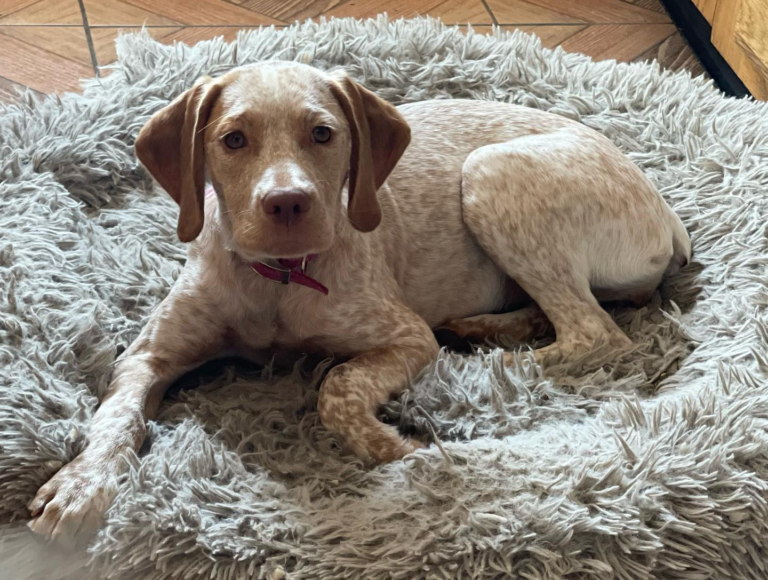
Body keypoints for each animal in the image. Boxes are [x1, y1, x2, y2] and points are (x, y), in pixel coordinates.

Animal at [28, 61, 688, 540]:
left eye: (323, 134)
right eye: (233, 139)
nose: (288, 204)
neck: (280, 282)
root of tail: (669, 216)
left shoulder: (405, 336)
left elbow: (337, 389)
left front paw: (398, 450)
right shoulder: (147, 357)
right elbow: (114, 416)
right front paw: (80, 484)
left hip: (490, 172)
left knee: (593, 332)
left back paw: (476, 365)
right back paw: (482, 329)